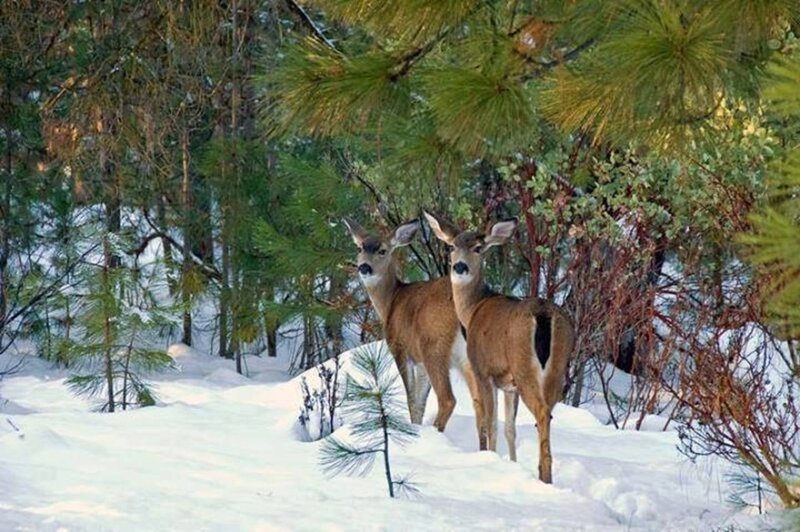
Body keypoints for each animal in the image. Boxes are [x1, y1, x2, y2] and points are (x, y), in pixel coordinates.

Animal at [342, 217, 520, 458]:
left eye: (382, 250)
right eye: (360, 248)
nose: (364, 268)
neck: (391, 302)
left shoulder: (401, 349)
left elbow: (411, 399)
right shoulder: (420, 364)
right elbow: (419, 402)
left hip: (434, 346)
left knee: (448, 399)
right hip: (467, 361)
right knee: (480, 406)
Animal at [423, 211, 575, 483]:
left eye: (478, 248)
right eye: (452, 247)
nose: (459, 267)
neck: (473, 310)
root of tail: (543, 314)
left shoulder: (483, 371)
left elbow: (490, 423)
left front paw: (490, 459)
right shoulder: (508, 384)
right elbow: (509, 428)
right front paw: (512, 464)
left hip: (523, 365)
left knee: (541, 412)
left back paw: (544, 476)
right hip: (557, 367)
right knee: (548, 413)